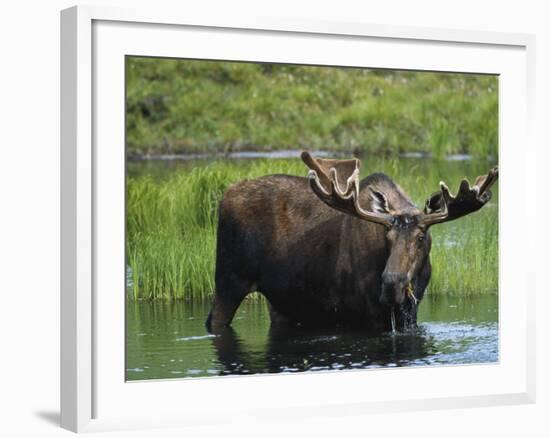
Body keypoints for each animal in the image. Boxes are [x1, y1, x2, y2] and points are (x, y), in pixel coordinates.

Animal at [207, 152, 500, 334]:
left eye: (420, 238)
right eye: (387, 238)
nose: (391, 285)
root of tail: (223, 198)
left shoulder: (410, 311)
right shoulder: (363, 313)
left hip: (282, 301)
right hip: (228, 280)